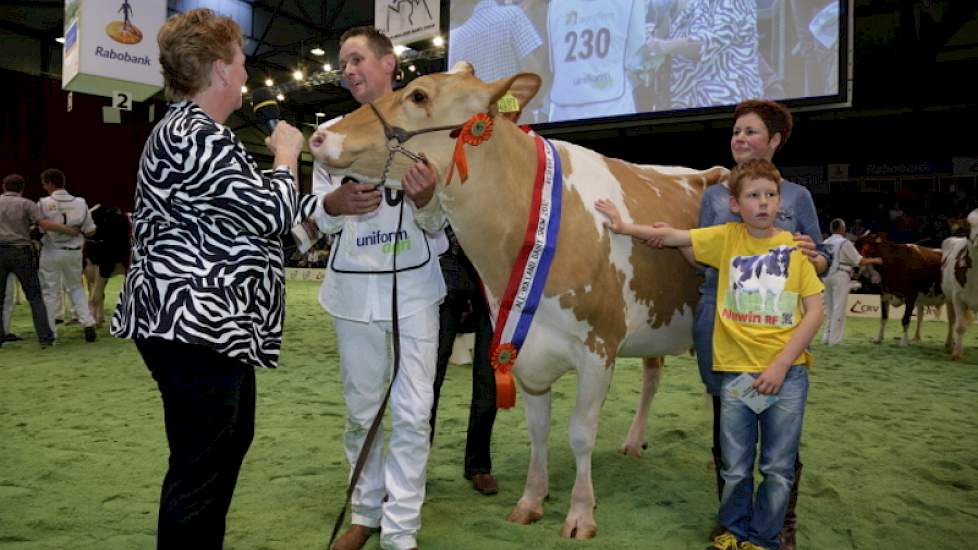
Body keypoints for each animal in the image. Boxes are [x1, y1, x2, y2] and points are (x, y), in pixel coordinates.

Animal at [306, 63, 724, 540]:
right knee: (654, 376)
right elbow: (538, 430)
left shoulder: (598, 348)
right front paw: (531, 501)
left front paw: (581, 513)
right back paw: (635, 441)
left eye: (418, 95)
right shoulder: (521, 348)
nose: (319, 137)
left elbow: (580, 433)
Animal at [936, 207, 976, 362]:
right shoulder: (957, 297)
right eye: (969, 225)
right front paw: (957, 354)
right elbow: (959, 326)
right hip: (949, 298)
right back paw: (949, 343)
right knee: (952, 320)